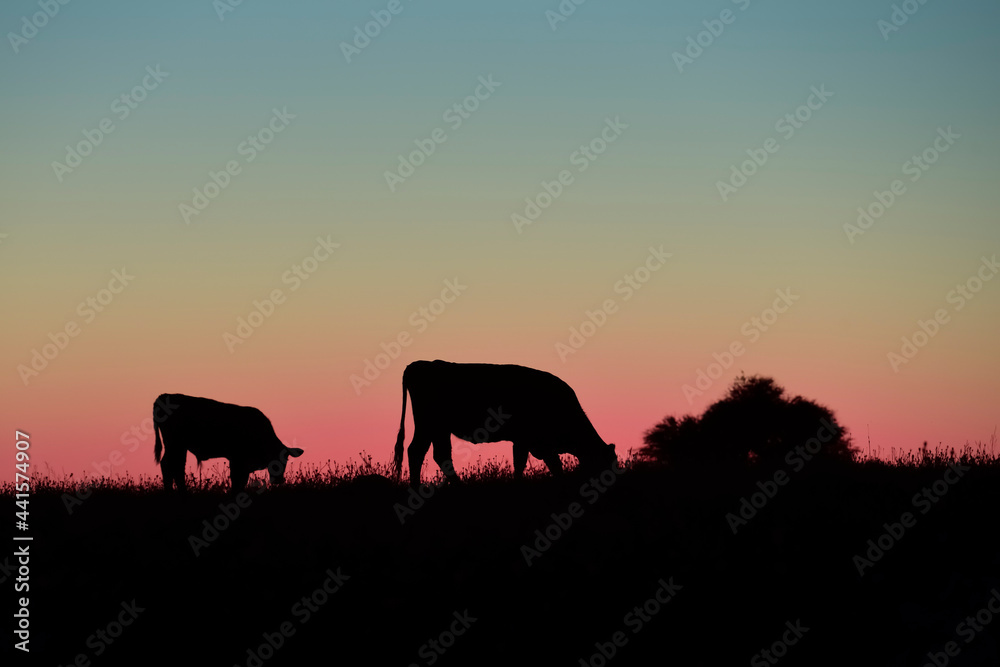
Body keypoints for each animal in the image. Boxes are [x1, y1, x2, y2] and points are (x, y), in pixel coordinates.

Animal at [151, 394, 300, 494]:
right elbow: (237, 478)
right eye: (274, 458)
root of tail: (164, 396)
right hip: (174, 444)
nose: (279, 480)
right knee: (169, 465)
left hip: (180, 447)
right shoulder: (237, 458)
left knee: (177, 466)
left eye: (286, 459)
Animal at [392, 360, 616, 486]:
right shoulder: (531, 441)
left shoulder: (529, 442)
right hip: (428, 425)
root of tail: (418, 364)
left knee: (437, 454)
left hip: (438, 429)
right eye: (606, 464)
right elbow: (536, 464)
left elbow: (527, 463)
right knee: (419, 451)